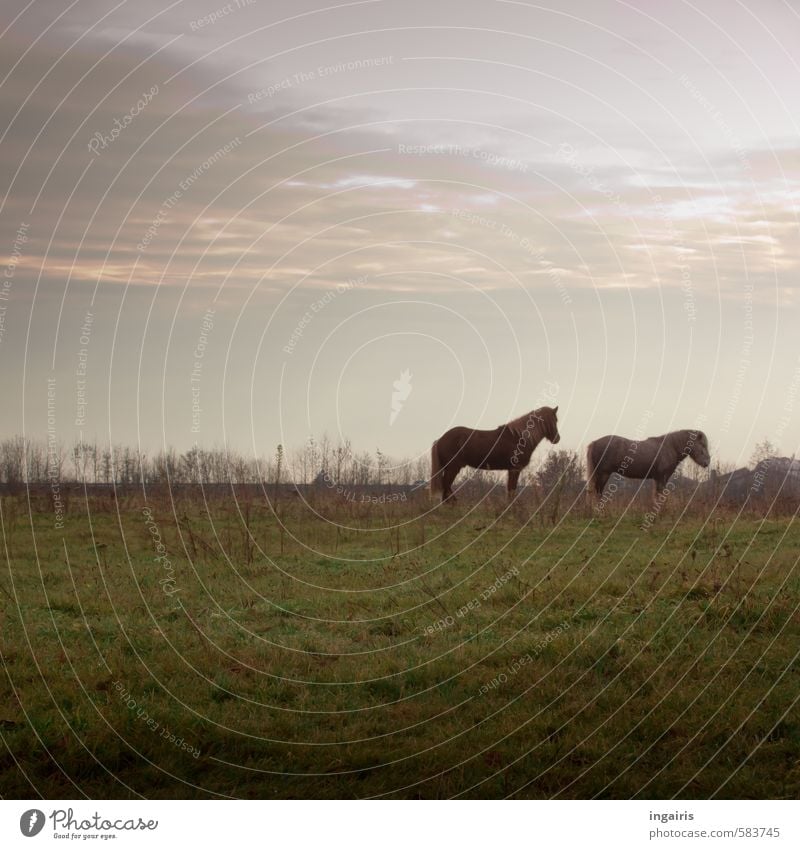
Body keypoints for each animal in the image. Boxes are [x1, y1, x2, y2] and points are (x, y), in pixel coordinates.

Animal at [432, 406, 564, 504]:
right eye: (554, 420)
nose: (557, 439)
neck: (519, 438)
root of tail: (440, 439)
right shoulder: (515, 469)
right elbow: (512, 490)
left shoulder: (511, 470)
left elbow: (510, 489)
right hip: (453, 468)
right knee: (446, 485)